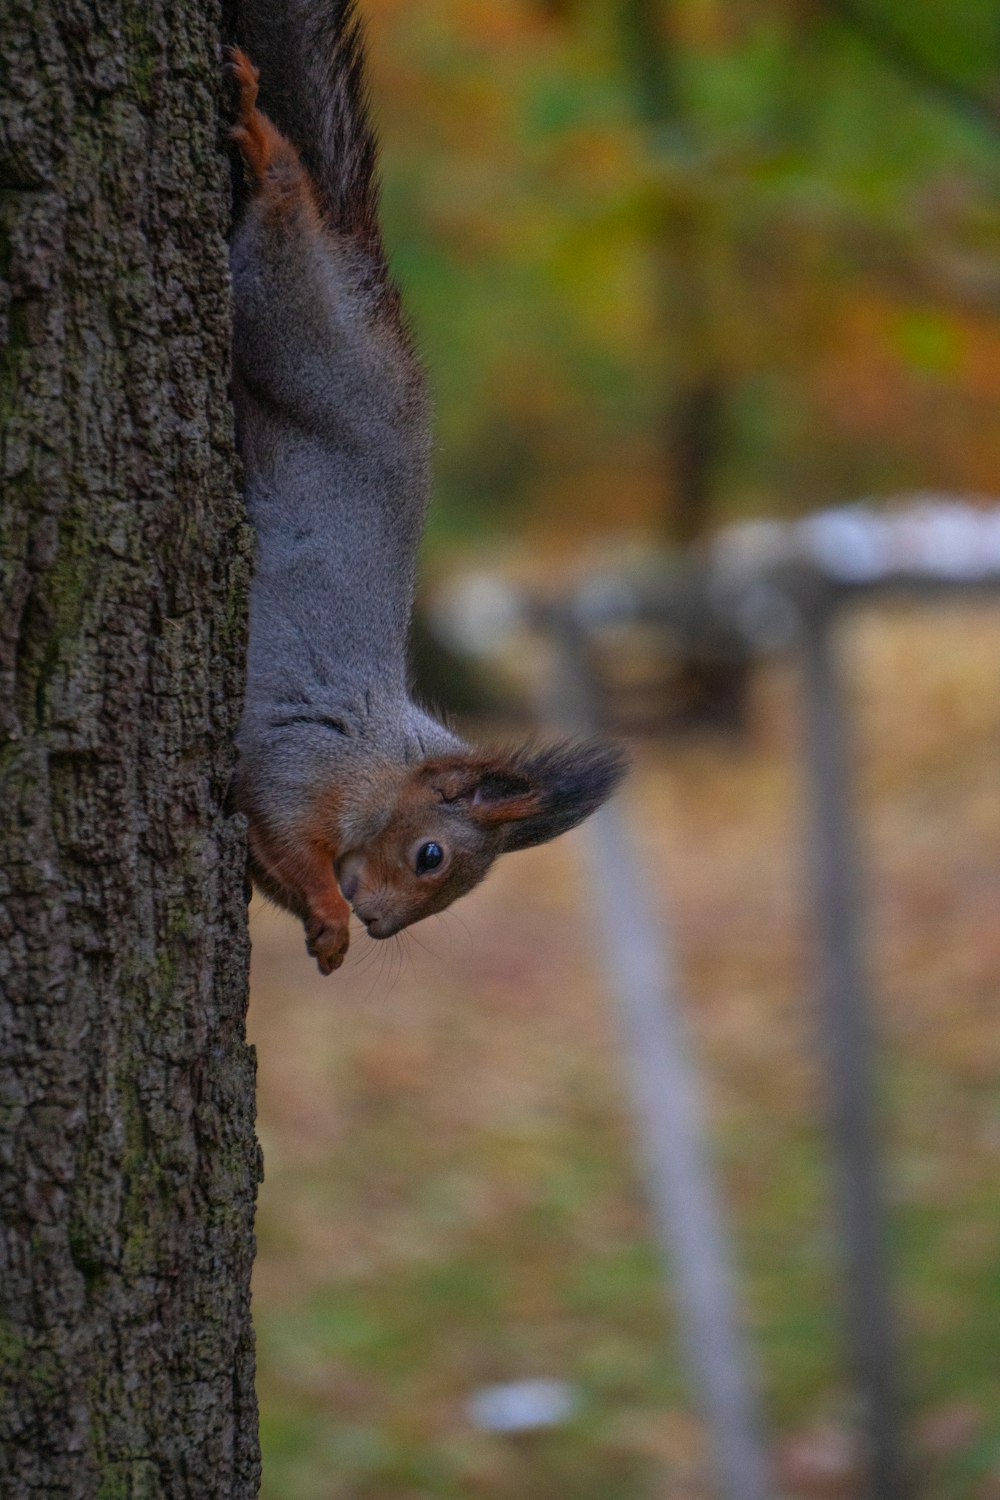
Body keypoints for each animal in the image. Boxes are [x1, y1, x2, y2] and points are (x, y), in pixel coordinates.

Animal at [230, 0, 629, 978]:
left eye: (445, 884)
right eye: (432, 855)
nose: (382, 925)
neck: (382, 758)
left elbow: (269, 858)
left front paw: (321, 927)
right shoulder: (299, 754)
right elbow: (293, 834)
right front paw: (331, 912)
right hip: (299, 332)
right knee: (287, 230)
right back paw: (270, 147)